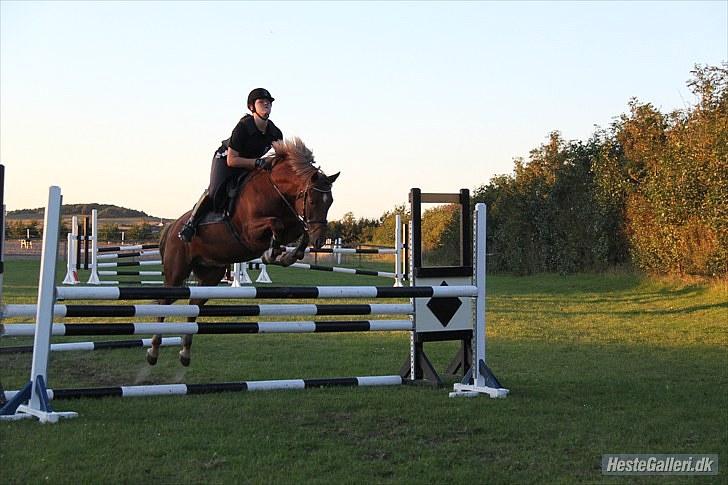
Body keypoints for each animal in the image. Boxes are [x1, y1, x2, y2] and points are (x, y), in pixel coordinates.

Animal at [146, 137, 339, 366]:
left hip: (211, 275)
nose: (320, 241)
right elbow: (276, 224)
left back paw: (185, 353)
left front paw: (289, 255)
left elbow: (300, 231)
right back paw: (153, 352)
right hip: (177, 272)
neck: (275, 190)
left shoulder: (292, 223)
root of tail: (172, 227)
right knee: (163, 302)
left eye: (330, 202)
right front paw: (272, 253)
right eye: (312, 200)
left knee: (193, 305)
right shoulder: (249, 232)